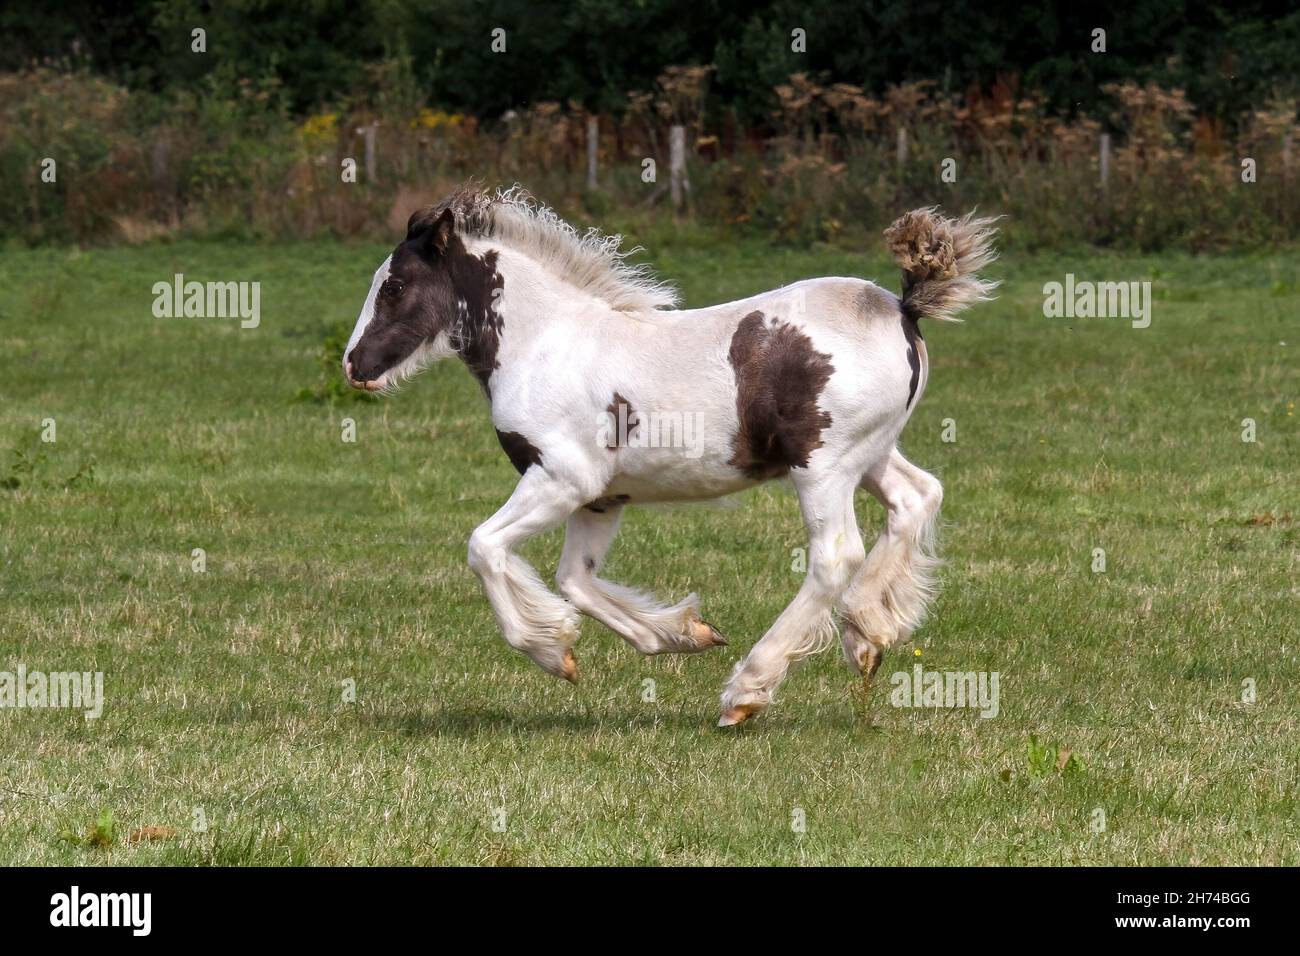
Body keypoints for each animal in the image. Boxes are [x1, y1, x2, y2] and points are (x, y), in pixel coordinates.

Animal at [343, 184, 993, 723]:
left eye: (394, 286)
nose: (355, 366)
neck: (545, 344)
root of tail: (903, 310)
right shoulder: (601, 499)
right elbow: (575, 579)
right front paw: (683, 633)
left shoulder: (562, 479)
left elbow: (485, 547)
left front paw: (552, 651)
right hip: (871, 455)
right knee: (917, 498)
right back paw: (866, 635)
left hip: (824, 467)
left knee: (835, 557)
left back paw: (748, 690)